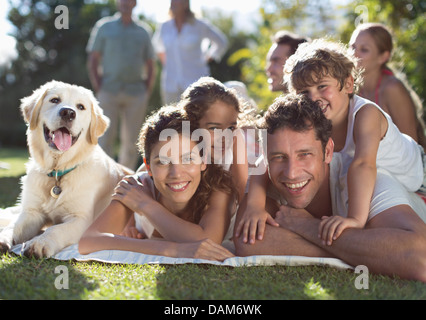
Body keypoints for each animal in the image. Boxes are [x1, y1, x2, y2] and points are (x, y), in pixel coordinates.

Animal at [0, 80, 131, 258]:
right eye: (54, 100)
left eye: (81, 107)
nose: (68, 112)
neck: (57, 170)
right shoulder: (31, 212)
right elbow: (14, 226)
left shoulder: (81, 219)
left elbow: (57, 229)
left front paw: (40, 243)